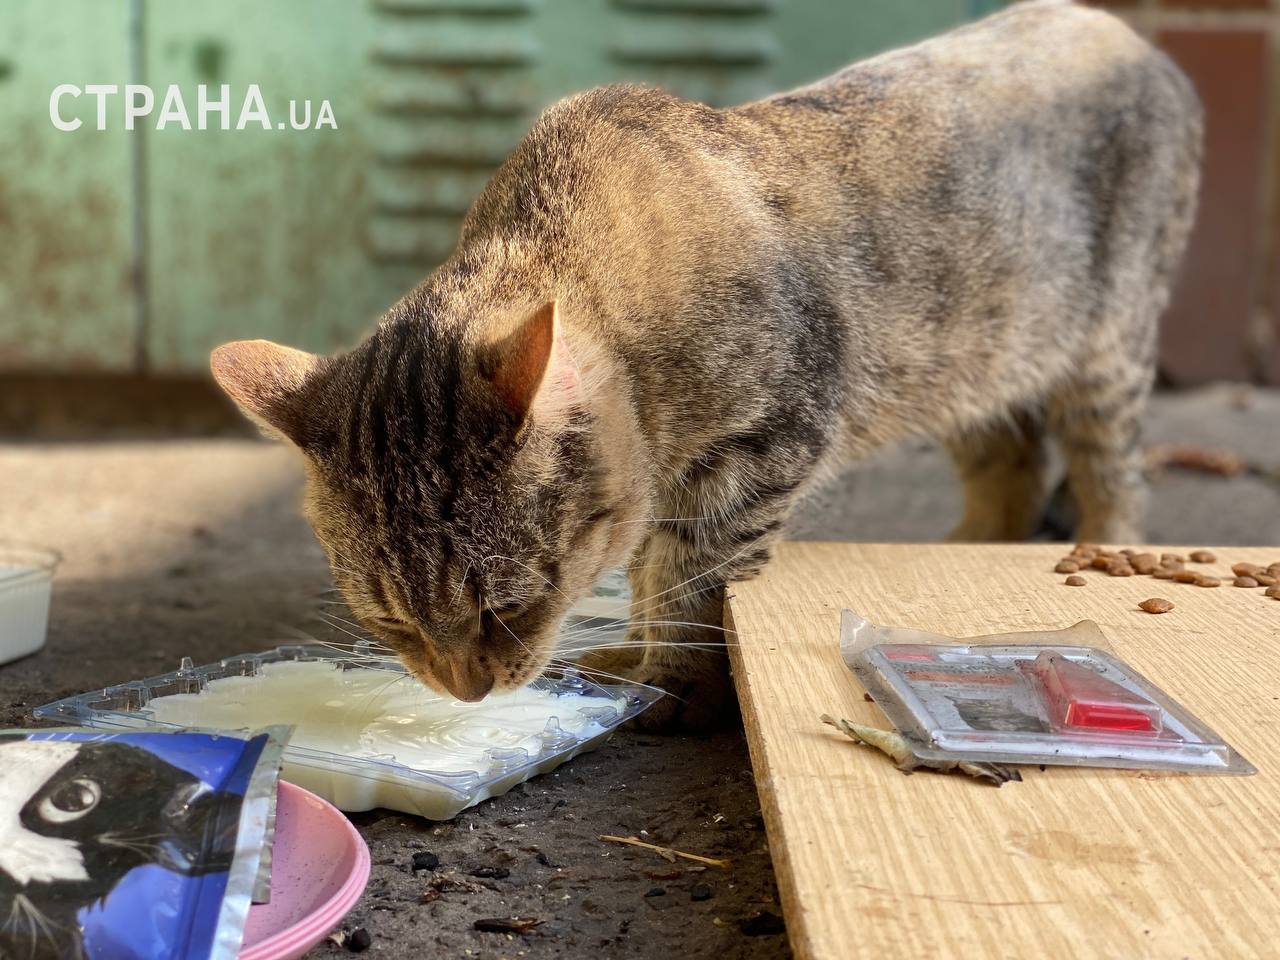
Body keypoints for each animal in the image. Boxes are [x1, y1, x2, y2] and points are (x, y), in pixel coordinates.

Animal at [209, 1, 1198, 727]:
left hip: (1104, 355)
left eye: (507, 607)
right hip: (969, 370)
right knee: (1013, 469)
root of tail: (1126, 34)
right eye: (389, 620)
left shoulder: (758, 455)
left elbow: (693, 580)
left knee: (1112, 476)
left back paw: (1101, 540)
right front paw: (634, 650)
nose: (466, 692)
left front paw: (673, 681)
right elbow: (651, 567)